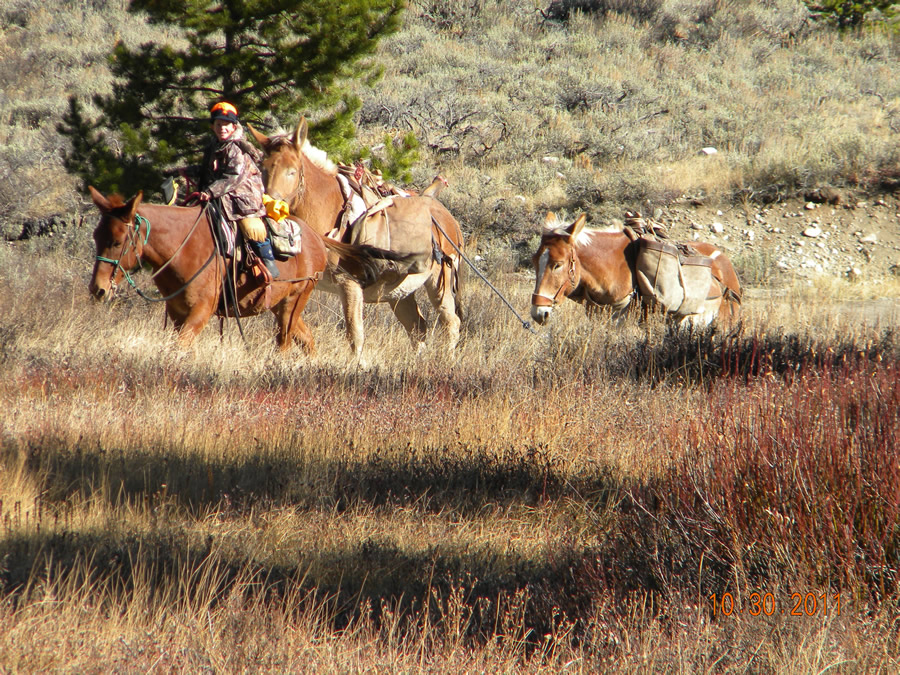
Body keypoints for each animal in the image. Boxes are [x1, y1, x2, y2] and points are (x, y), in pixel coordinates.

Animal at [89, 185, 380, 354]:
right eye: (95, 237)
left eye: (117, 242)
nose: (98, 289)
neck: (183, 246)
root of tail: (317, 238)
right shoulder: (176, 313)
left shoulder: (200, 311)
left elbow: (181, 347)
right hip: (280, 305)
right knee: (306, 340)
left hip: (295, 301)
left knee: (285, 344)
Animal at [250, 119, 464, 360]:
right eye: (261, 169)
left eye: (292, 171)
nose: (269, 208)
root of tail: (447, 217)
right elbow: (298, 332)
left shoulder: (349, 284)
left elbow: (355, 335)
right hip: (399, 293)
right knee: (417, 328)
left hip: (439, 281)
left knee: (450, 323)